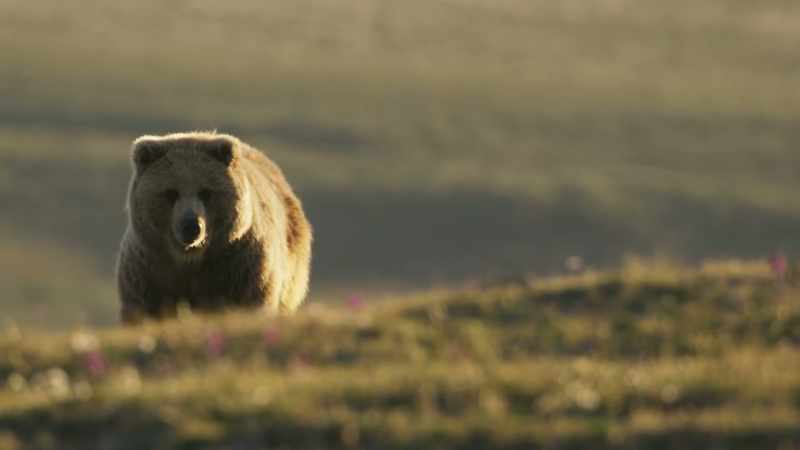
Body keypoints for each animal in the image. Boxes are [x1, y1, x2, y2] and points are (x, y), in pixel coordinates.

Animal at [115, 131, 312, 324]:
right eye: (171, 192)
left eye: (206, 192)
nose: (191, 226)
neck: (191, 258)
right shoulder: (148, 272)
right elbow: (145, 308)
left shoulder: (240, 267)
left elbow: (253, 299)